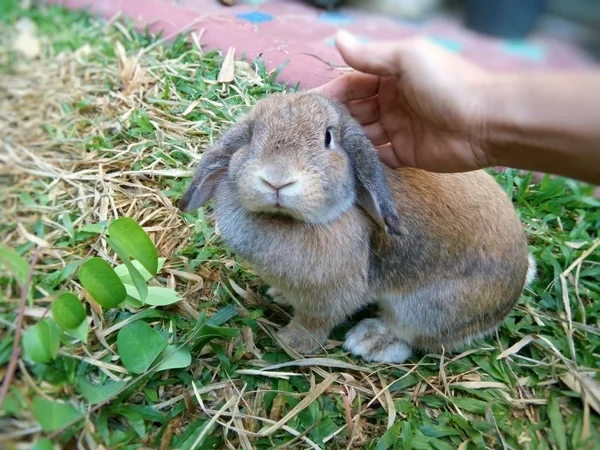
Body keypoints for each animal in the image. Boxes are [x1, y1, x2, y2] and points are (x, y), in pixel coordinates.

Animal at [178, 91, 536, 362]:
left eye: (328, 138)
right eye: (251, 135)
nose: (277, 179)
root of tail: (514, 289)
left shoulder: (328, 297)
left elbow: (314, 321)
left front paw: (292, 343)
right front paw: (278, 295)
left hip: (426, 308)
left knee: (415, 336)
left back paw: (370, 341)